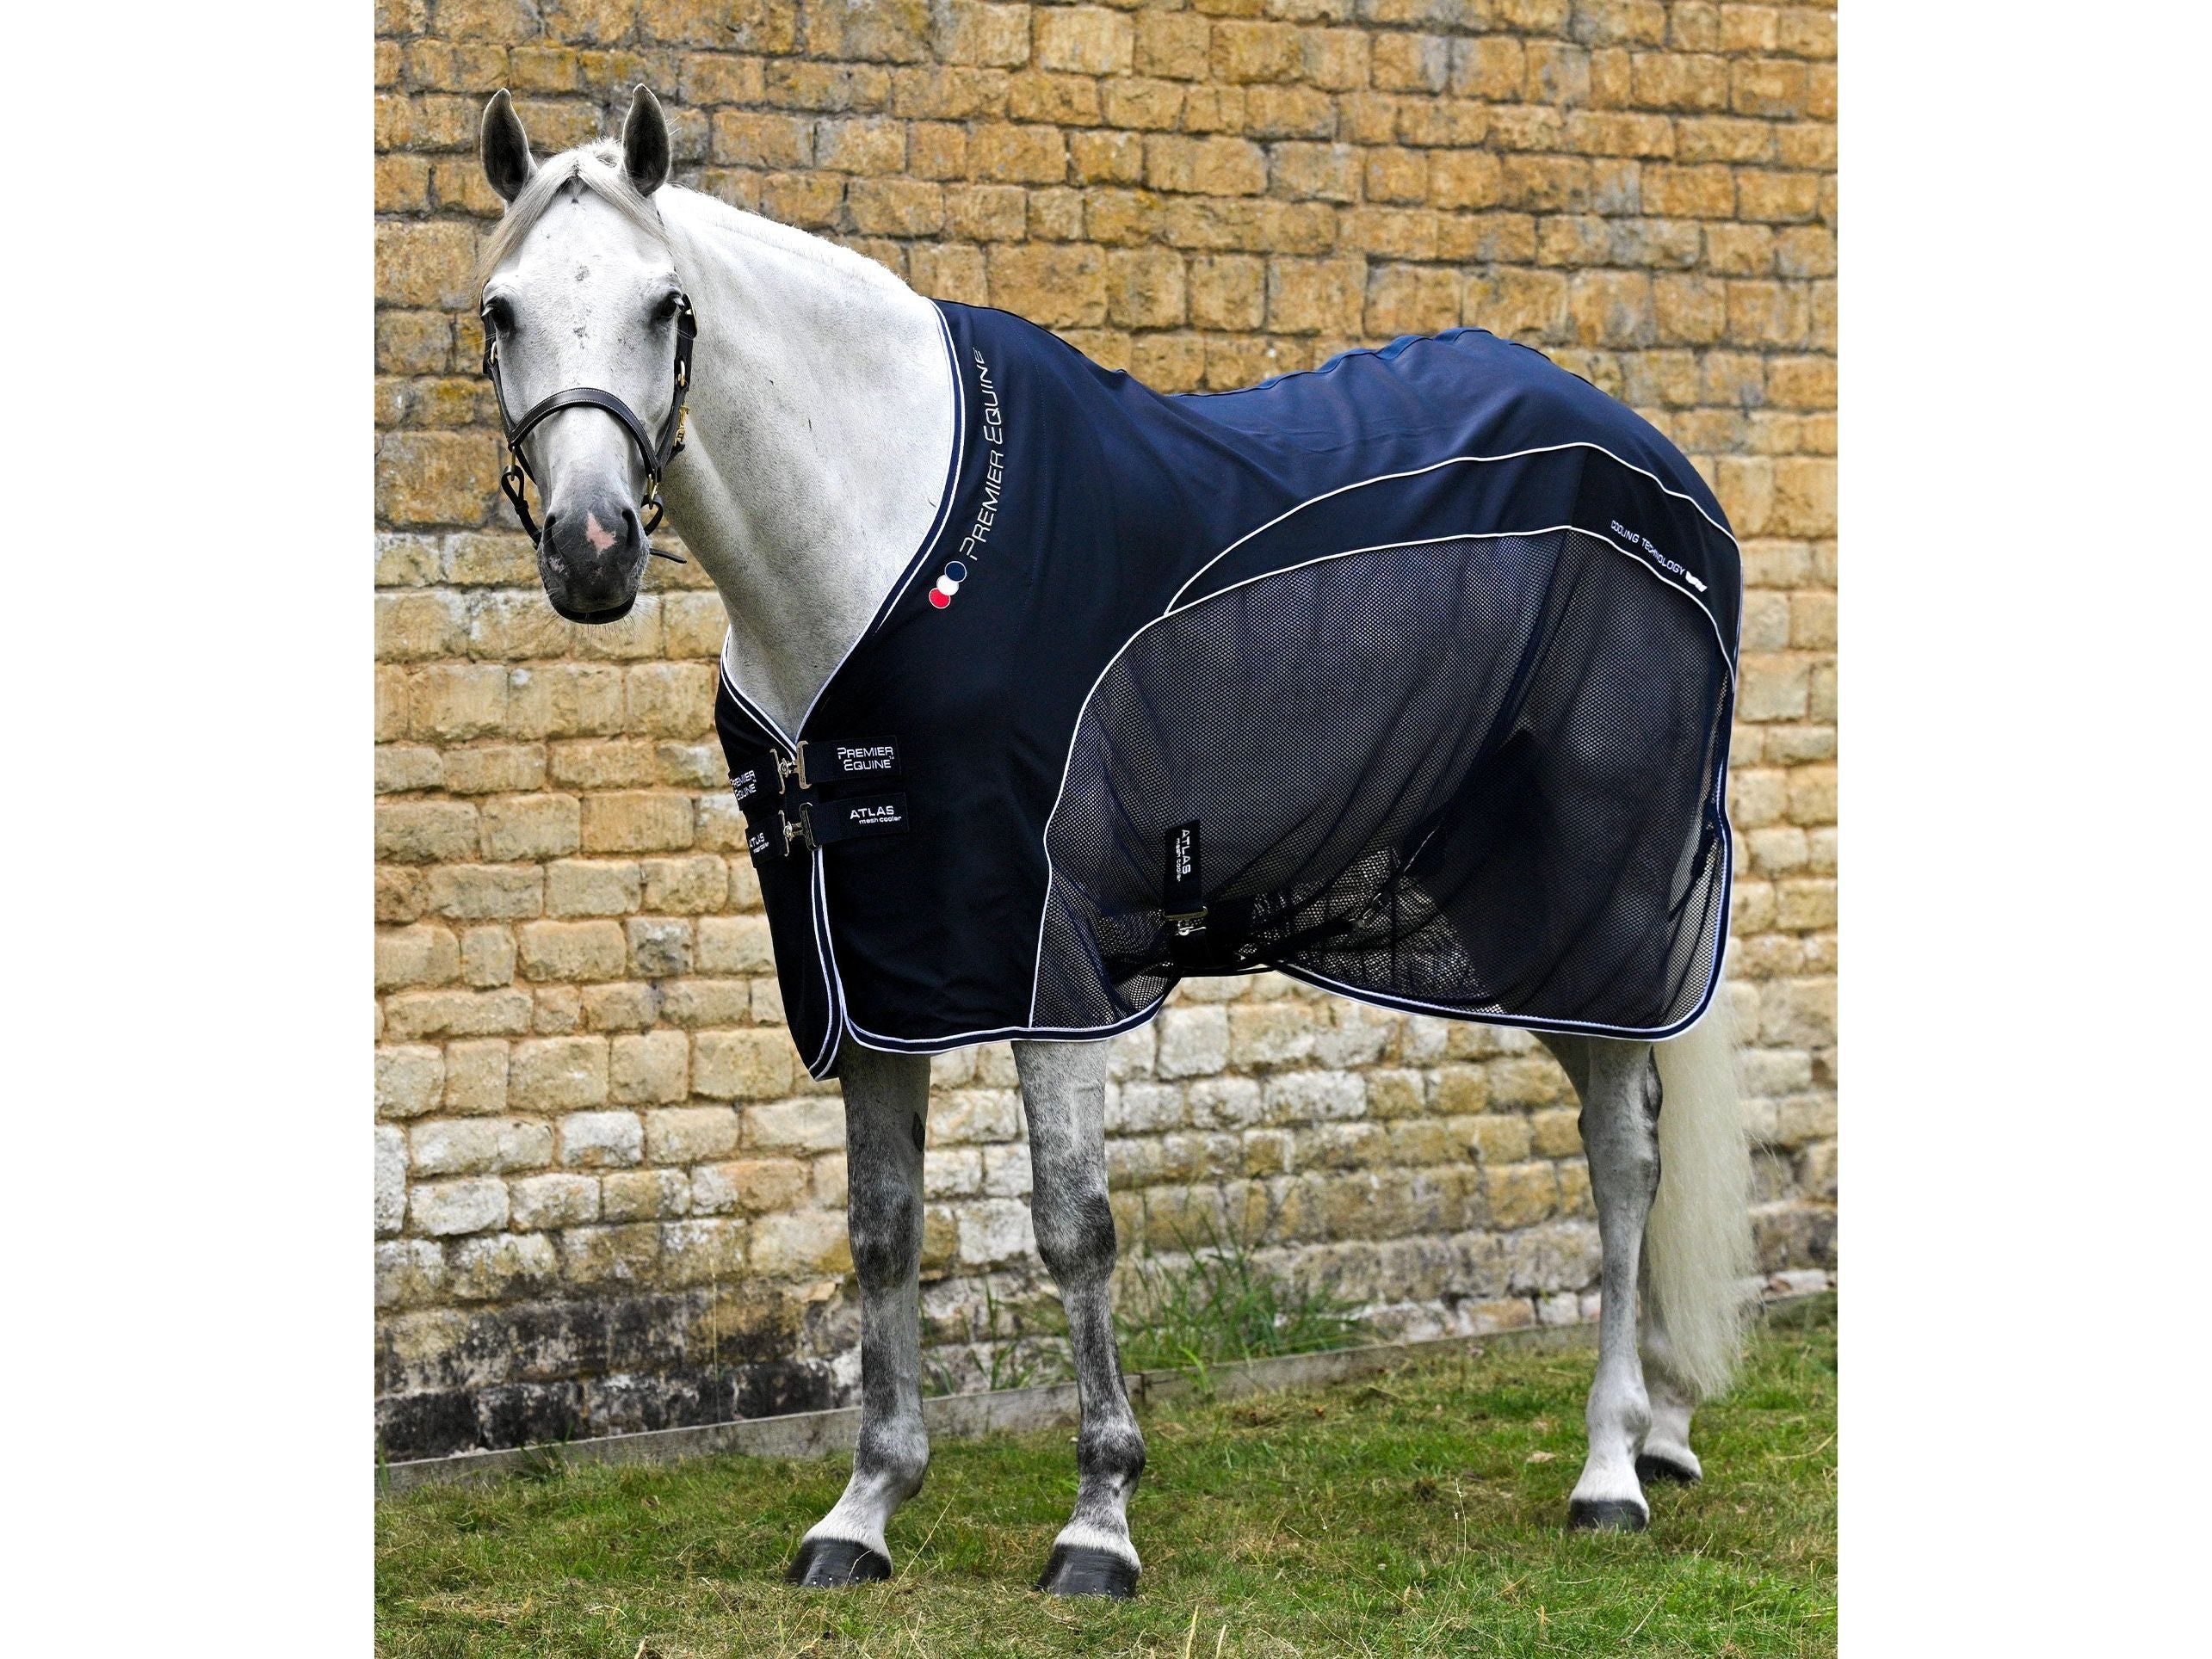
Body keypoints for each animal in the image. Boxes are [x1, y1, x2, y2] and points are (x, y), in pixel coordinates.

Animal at [469, 86, 1754, 1598]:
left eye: (666, 305)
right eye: (501, 310)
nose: (591, 549)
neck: (878, 547)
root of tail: (1661, 468)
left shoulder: (1045, 958)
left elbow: (1072, 1227)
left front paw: (1098, 1519)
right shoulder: (876, 969)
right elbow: (880, 1229)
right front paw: (862, 1509)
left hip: (1588, 903)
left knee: (1622, 1157)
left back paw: (1609, 1469)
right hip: (1506, 921)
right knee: (1637, 1129)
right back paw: (1662, 1431)